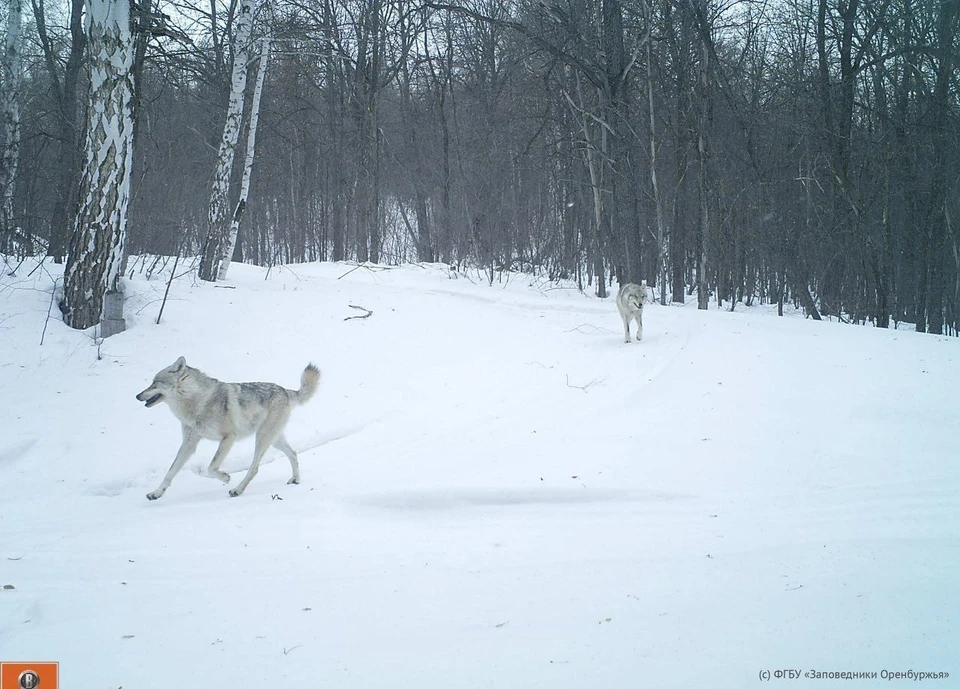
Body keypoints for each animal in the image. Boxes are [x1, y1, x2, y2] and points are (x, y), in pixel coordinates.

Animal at [137, 358, 320, 498]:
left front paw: (225, 478)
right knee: (293, 453)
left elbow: (211, 468)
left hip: (262, 439)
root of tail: (285, 390)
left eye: (154, 383)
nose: (137, 396)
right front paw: (156, 493)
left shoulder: (228, 437)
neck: (198, 402)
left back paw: (237, 489)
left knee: (254, 468)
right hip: (273, 440)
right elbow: (170, 472)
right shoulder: (188, 445)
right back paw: (295, 479)